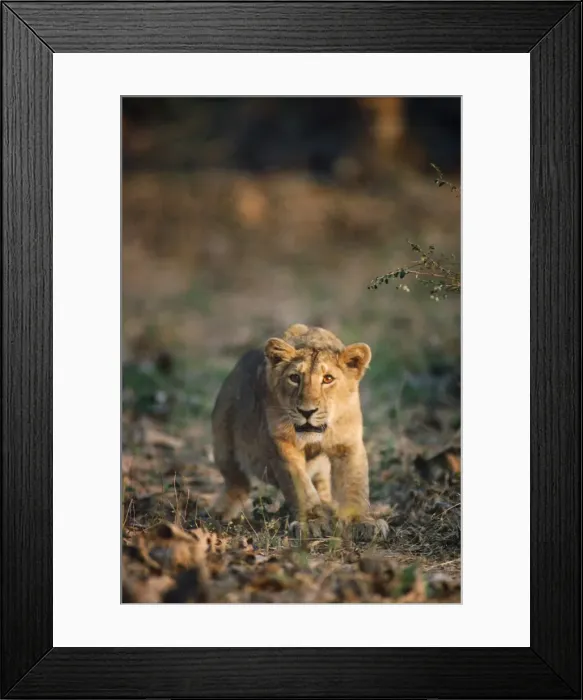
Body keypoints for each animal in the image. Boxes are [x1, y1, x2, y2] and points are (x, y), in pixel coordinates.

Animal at [211, 324, 386, 537]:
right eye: (294, 378)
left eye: (328, 379)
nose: (307, 411)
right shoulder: (283, 445)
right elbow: (301, 487)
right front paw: (312, 522)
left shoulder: (348, 443)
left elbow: (354, 484)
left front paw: (360, 521)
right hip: (224, 441)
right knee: (237, 482)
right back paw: (222, 512)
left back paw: (328, 505)